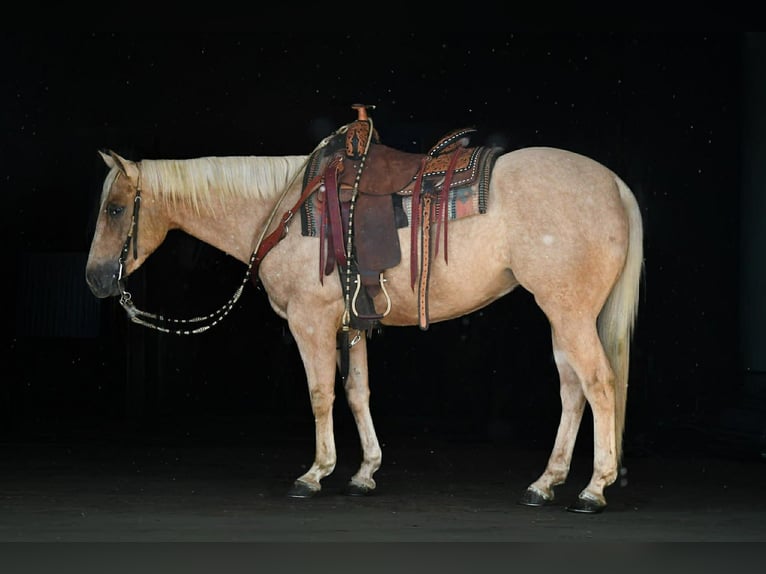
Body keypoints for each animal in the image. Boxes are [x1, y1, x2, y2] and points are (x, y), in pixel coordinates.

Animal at [85, 113, 643, 514]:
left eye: (115, 209)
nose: (95, 279)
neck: (285, 207)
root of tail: (615, 183)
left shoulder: (310, 322)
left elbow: (320, 395)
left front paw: (315, 474)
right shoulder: (352, 325)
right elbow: (356, 393)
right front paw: (363, 473)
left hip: (569, 314)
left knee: (599, 383)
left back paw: (593, 489)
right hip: (562, 315)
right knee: (573, 390)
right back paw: (545, 483)